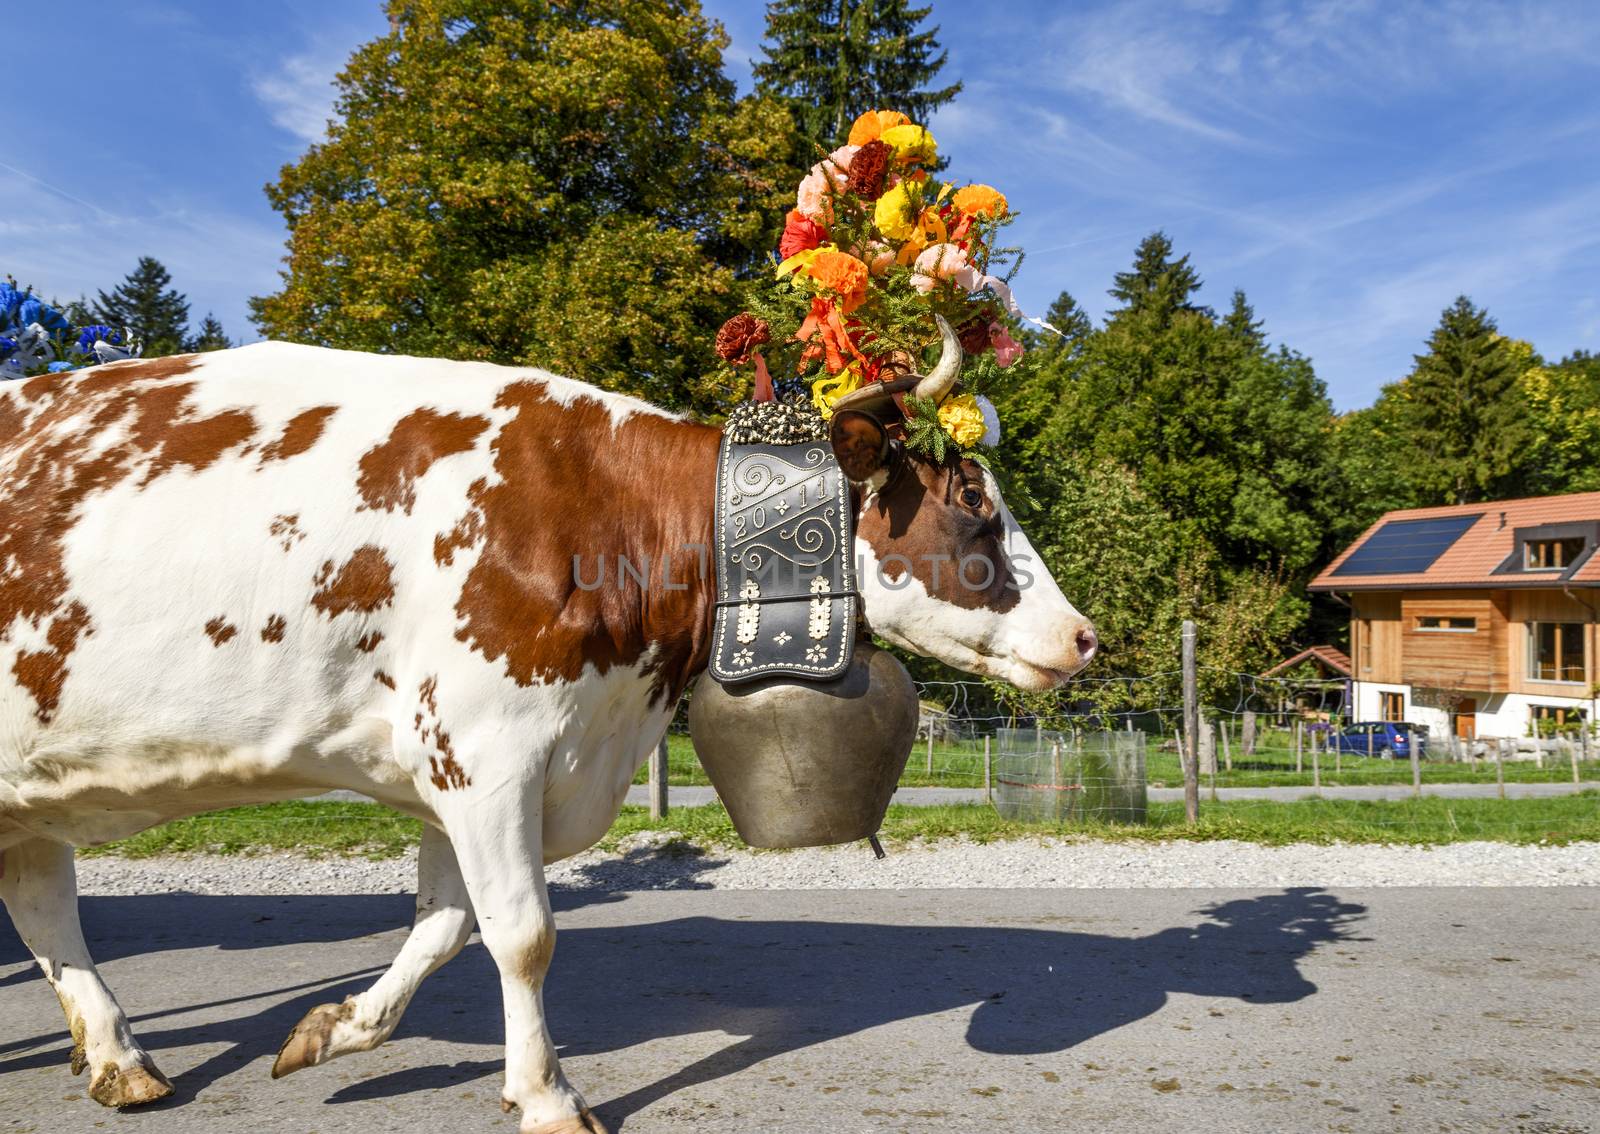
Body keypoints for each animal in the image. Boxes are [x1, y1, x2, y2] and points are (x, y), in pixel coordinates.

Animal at [0, 321, 1094, 1132]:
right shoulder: (487, 750)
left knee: (43, 898)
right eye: (971, 501)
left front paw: (337, 1028)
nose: (1081, 636)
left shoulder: (465, 762)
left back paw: (119, 1056)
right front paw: (548, 1096)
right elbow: (523, 935)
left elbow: (445, 927)